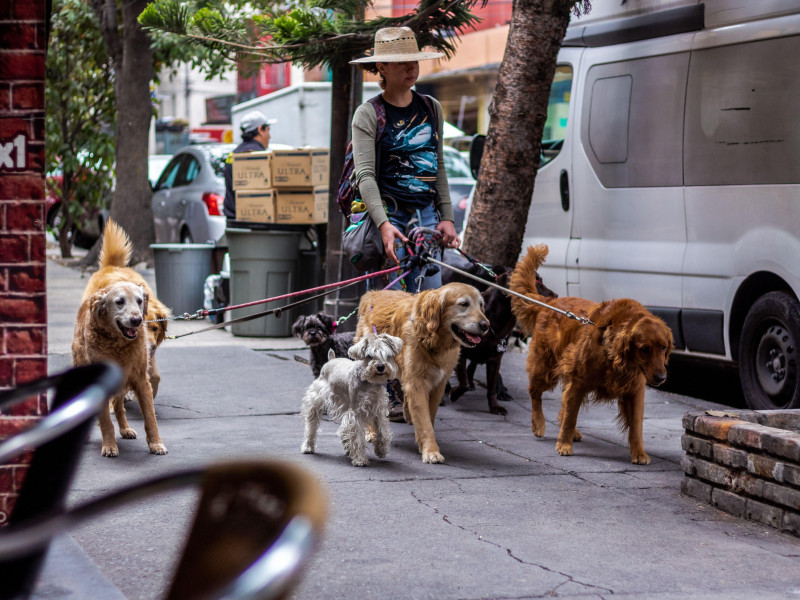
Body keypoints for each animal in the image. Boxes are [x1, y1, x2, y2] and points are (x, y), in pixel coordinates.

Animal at [300, 336, 404, 466]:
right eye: (369, 355)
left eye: (387, 354)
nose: (380, 367)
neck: (369, 382)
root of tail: (330, 360)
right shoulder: (356, 413)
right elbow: (357, 437)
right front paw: (360, 459)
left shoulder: (378, 410)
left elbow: (382, 431)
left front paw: (381, 450)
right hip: (315, 401)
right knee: (311, 426)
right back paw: (308, 447)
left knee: (343, 430)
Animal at [354, 282, 488, 464]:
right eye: (463, 304)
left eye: (481, 305)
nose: (486, 325)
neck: (434, 340)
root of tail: (372, 294)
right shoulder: (417, 382)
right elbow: (424, 421)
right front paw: (431, 451)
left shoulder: (439, 383)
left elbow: (428, 416)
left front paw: (425, 444)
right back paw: (371, 431)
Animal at [438, 251, 556, 414]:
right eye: (534, 282)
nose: (556, 296)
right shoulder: (461, 352)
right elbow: (463, 382)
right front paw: (454, 393)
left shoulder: (495, 358)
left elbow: (491, 387)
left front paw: (495, 406)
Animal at [510, 244, 672, 464]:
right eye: (644, 348)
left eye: (663, 347)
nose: (661, 378)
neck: (615, 356)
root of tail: (549, 302)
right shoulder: (579, 381)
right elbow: (571, 416)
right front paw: (564, 444)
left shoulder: (635, 390)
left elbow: (636, 425)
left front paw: (639, 453)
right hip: (546, 368)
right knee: (535, 392)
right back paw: (538, 423)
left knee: (562, 400)